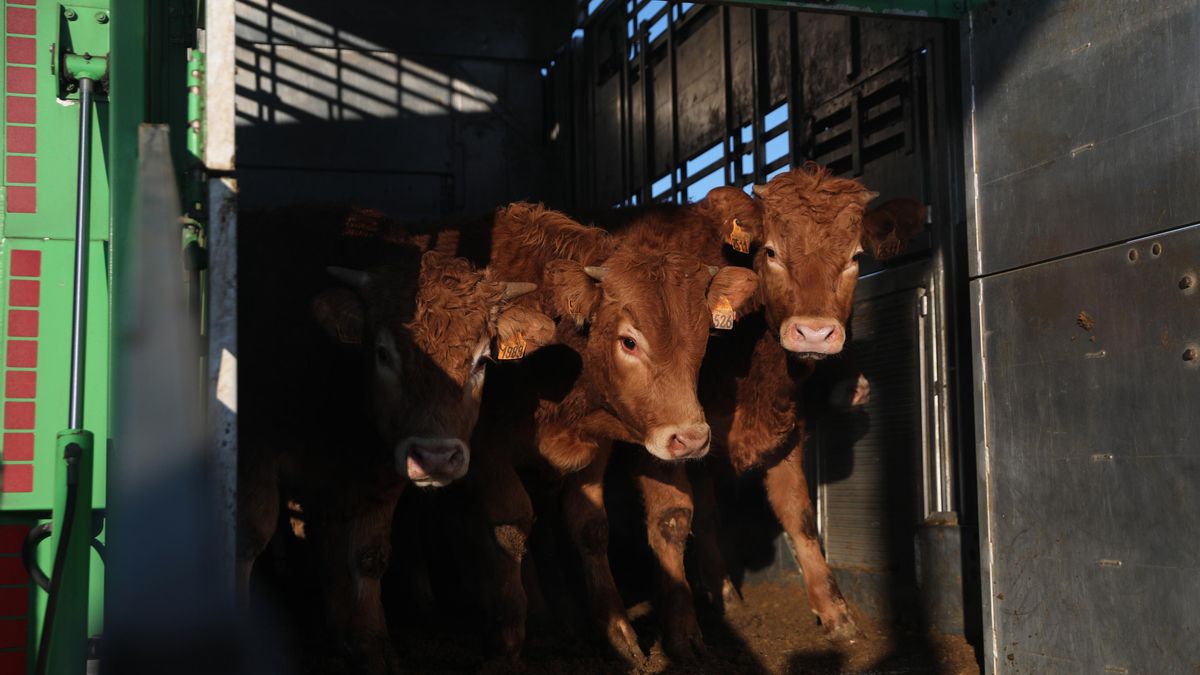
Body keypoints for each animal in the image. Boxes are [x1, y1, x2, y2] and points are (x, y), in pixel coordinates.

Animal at [236, 206, 555, 673]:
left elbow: (369, 555)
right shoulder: (254, 450)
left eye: (481, 360)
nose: (437, 458)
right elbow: (249, 536)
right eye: (383, 352)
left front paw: (370, 643)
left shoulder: (381, 471)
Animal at [464, 202, 759, 664]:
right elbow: (510, 526)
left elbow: (594, 526)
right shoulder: (487, 444)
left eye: (703, 340)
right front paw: (509, 645)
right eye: (629, 341)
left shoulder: (595, 450)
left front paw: (623, 630)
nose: (691, 439)